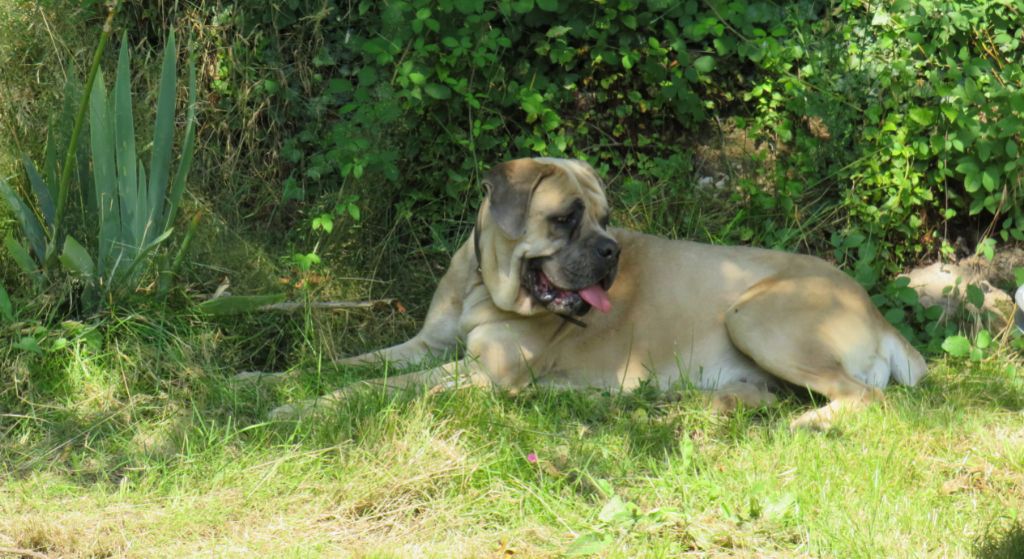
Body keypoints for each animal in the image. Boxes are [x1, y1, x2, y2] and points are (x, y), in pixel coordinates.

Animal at [270, 156, 929, 425]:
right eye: (566, 218)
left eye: (607, 219)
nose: (611, 251)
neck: (485, 285)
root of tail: (880, 316)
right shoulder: (426, 346)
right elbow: (353, 364)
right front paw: (263, 382)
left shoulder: (485, 372)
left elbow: (377, 390)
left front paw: (302, 410)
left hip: (755, 315)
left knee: (868, 398)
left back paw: (810, 425)